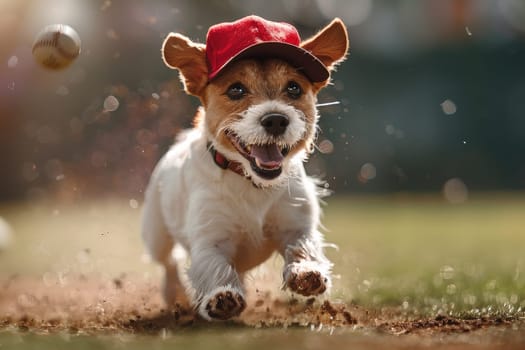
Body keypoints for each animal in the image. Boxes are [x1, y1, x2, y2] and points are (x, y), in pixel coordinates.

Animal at [140, 15, 348, 320]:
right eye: (236, 89)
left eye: (294, 88)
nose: (275, 119)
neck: (252, 183)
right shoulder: (210, 237)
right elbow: (215, 267)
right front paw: (221, 296)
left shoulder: (296, 224)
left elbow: (303, 247)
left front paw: (306, 273)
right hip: (156, 235)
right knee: (169, 263)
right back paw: (174, 294)